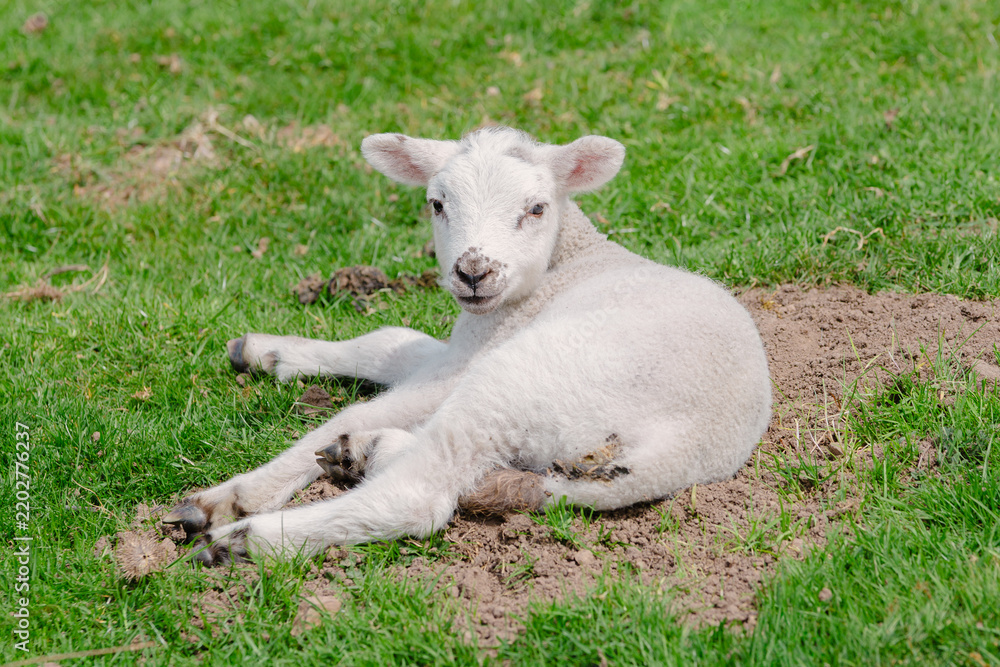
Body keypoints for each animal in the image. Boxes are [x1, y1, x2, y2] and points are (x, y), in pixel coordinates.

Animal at [163, 127, 772, 564]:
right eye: (437, 204)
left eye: (536, 208)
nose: (472, 271)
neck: (565, 265)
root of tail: (684, 448)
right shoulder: (460, 348)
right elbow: (391, 343)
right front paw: (266, 351)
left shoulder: (473, 359)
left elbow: (362, 402)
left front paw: (230, 497)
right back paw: (365, 452)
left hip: (521, 379)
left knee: (421, 496)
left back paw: (247, 540)